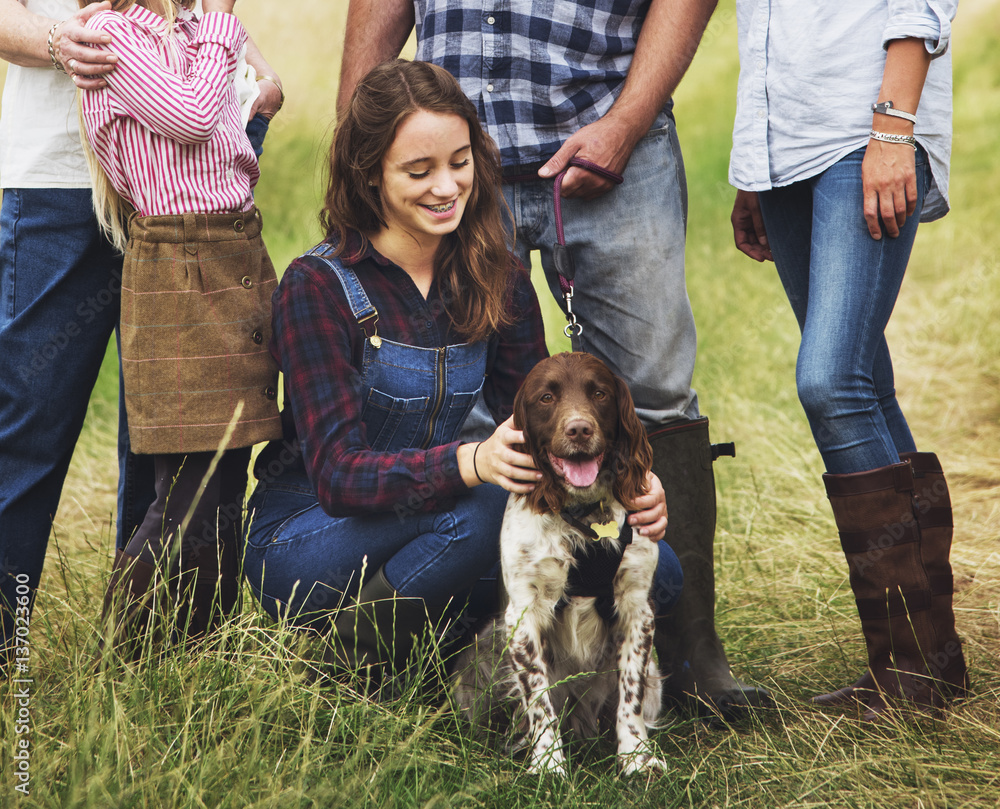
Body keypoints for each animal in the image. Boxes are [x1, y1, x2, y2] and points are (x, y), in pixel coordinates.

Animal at [454, 352, 664, 776]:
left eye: (599, 393)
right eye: (546, 397)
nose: (579, 429)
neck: (583, 514)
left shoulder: (637, 608)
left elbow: (630, 694)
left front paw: (635, 757)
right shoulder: (523, 614)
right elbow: (539, 698)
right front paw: (549, 762)